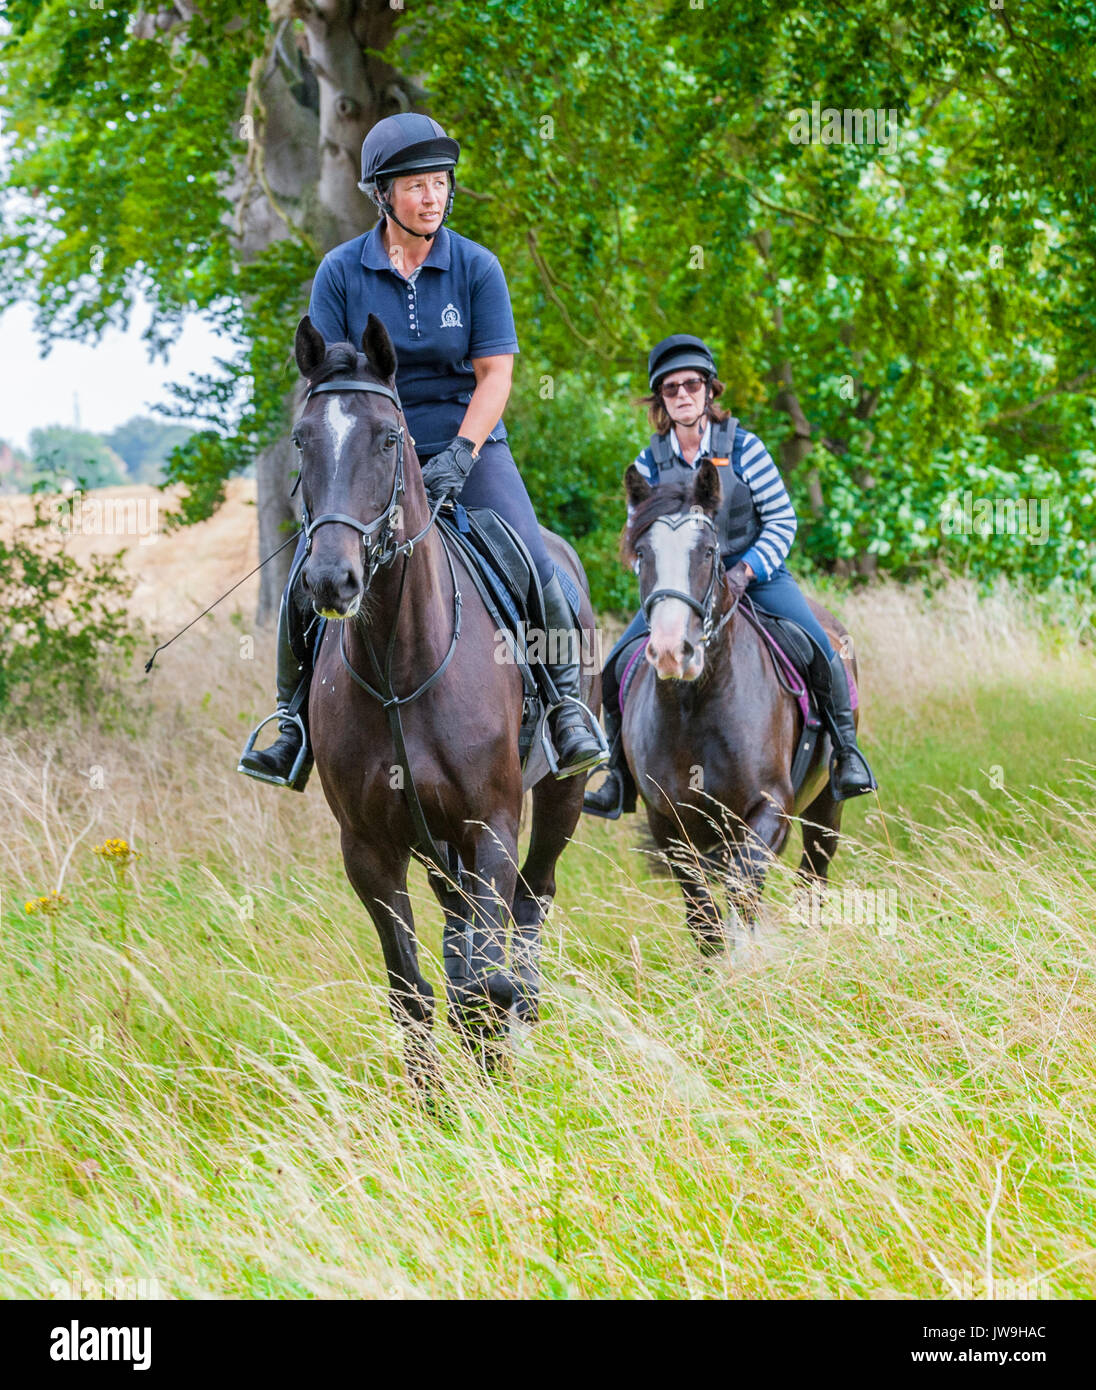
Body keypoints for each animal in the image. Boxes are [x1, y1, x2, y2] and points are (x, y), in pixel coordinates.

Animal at [290, 318, 598, 1084]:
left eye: (386, 438)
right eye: (303, 438)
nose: (332, 580)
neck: (402, 667)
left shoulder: (491, 826)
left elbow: (483, 984)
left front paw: (493, 1087)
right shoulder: (370, 849)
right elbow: (412, 990)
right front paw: (432, 1104)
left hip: (560, 797)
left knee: (531, 899)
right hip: (434, 847)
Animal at [620, 461, 862, 950]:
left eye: (708, 551)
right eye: (642, 553)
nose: (673, 651)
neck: (694, 707)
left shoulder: (769, 809)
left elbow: (742, 892)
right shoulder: (669, 826)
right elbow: (704, 917)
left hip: (826, 806)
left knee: (814, 874)